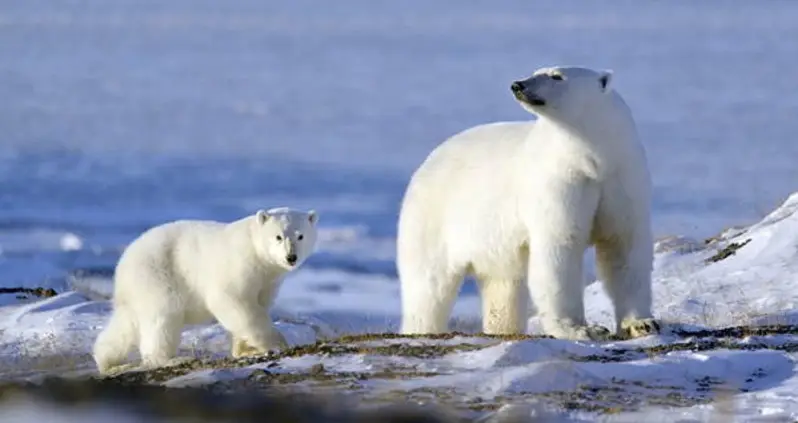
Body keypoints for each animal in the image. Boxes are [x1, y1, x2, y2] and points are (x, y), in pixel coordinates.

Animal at [92, 207, 319, 375]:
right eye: (278, 236)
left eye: (300, 236)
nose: (291, 257)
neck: (258, 254)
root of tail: (124, 262)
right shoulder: (239, 265)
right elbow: (233, 302)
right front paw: (276, 343)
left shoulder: (268, 280)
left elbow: (258, 304)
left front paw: (244, 349)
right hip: (158, 275)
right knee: (163, 317)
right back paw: (171, 360)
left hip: (138, 289)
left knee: (125, 323)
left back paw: (107, 361)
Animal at [396, 65, 660, 341]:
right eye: (536, 71)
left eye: (556, 76)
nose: (518, 85)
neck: (592, 159)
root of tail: (429, 160)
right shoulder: (561, 182)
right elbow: (560, 248)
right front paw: (581, 329)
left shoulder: (621, 177)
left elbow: (623, 246)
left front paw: (642, 323)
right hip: (434, 219)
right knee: (428, 287)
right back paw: (421, 329)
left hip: (494, 247)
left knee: (502, 287)